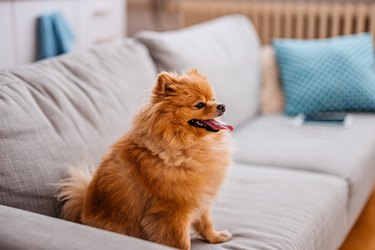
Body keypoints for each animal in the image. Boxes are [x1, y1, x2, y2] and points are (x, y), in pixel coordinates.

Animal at [57, 69, 234, 250]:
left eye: (213, 99)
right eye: (199, 105)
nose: (222, 106)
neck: (189, 146)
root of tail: (83, 210)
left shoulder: (203, 197)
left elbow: (206, 222)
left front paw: (215, 236)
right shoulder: (173, 212)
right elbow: (182, 242)